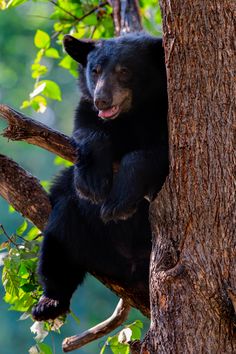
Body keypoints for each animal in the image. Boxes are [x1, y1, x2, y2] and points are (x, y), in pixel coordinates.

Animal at [32, 33, 168, 320]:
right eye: (94, 71)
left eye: (125, 71)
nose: (102, 100)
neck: (133, 114)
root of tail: (129, 264)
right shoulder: (86, 113)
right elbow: (89, 134)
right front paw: (93, 184)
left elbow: (153, 153)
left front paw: (118, 204)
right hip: (84, 235)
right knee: (58, 240)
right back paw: (49, 302)